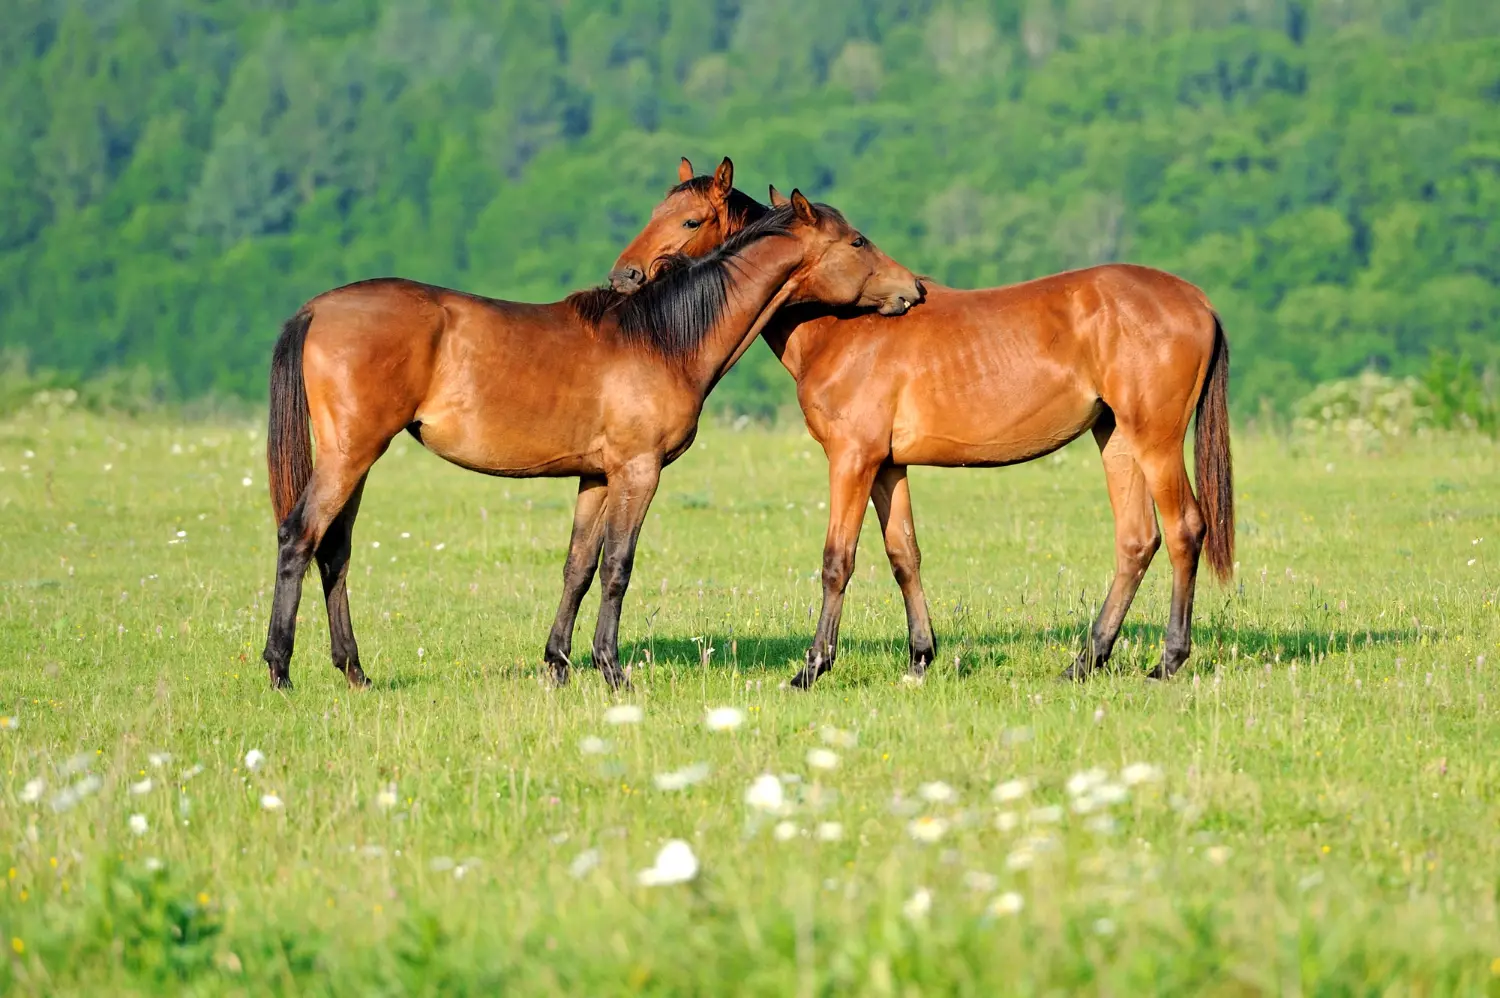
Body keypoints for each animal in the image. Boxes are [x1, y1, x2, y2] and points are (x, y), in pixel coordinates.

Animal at [262, 190, 918, 690]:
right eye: (858, 242)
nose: (912, 289)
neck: (663, 339)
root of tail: (316, 309)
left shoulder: (596, 477)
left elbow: (578, 568)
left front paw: (557, 665)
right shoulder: (637, 471)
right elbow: (617, 567)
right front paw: (611, 669)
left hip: (357, 461)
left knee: (335, 552)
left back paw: (354, 672)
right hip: (351, 456)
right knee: (300, 537)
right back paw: (280, 669)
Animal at [609, 161, 1230, 684]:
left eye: (690, 220)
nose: (624, 276)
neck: (840, 325)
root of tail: (1198, 301)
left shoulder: (852, 459)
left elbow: (837, 561)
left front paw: (813, 668)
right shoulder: (888, 467)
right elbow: (903, 556)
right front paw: (920, 658)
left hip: (1156, 441)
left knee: (1183, 531)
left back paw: (1168, 661)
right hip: (1117, 438)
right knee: (1136, 541)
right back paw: (1086, 661)